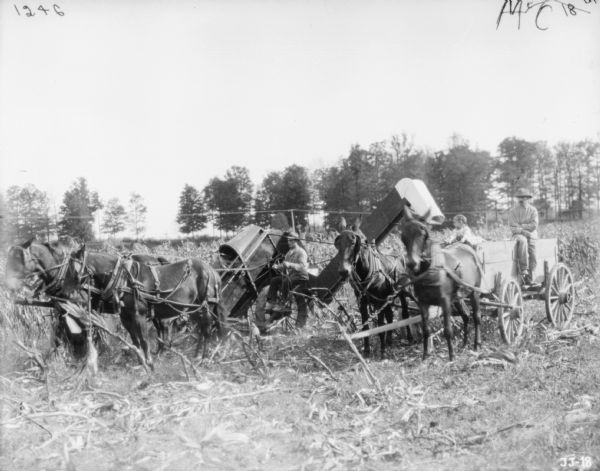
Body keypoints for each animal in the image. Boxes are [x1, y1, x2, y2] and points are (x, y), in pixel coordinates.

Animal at [62, 247, 225, 368]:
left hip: (205, 307)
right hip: (193, 309)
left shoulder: (138, 315)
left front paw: (149, 363)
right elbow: (135, 341)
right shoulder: (126, 317)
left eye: (72, 269)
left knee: (207, 330)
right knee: (201, 329)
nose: (64, 292)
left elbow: (144, 340)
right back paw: (196, 355)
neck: (123, 278)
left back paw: (204, 358)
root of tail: (212, 271)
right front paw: (140, 362)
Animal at [332, 221, 412, 358]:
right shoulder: (362, 303)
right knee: (390, 316)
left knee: (405, 314)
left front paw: (382, 352)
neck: (366, 271)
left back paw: (410, 339)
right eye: (337, 244)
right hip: (387, 298)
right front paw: (367, 350)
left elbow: (380, 327)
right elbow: (366, 327)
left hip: (401, 292)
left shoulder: (379, 302)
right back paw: (389, 341)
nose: (343, 271)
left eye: (353, 242)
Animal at [400, 209, 486, 362]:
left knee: (477, 317)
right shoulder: (422, 303)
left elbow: (447, 330)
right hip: (458, 297)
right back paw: (464, 344)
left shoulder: (445, 301)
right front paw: (425, 356)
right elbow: (426, 330)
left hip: (474, 292)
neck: (429, 271)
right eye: (403, 236)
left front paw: (451, 356)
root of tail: (469, 248)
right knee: (466, 315)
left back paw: (477, 344)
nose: (411, 263)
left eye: (423, 233)